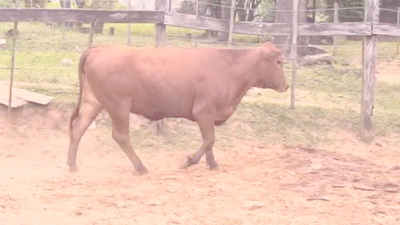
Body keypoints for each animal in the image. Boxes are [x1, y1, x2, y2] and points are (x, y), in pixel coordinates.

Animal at [67, 42, 290, 176]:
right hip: (118, 105)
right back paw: (141, 167)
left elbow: (209, 141)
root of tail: (98, 49)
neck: (229, 68)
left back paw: (72, 165)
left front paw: (213, 164)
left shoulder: (208, 116)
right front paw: (189, 161)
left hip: (94, 102)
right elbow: (209, 139)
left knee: (78, 128)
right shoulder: (203, 112)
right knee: (120, 136)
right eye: (279, 61)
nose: (286, 86)